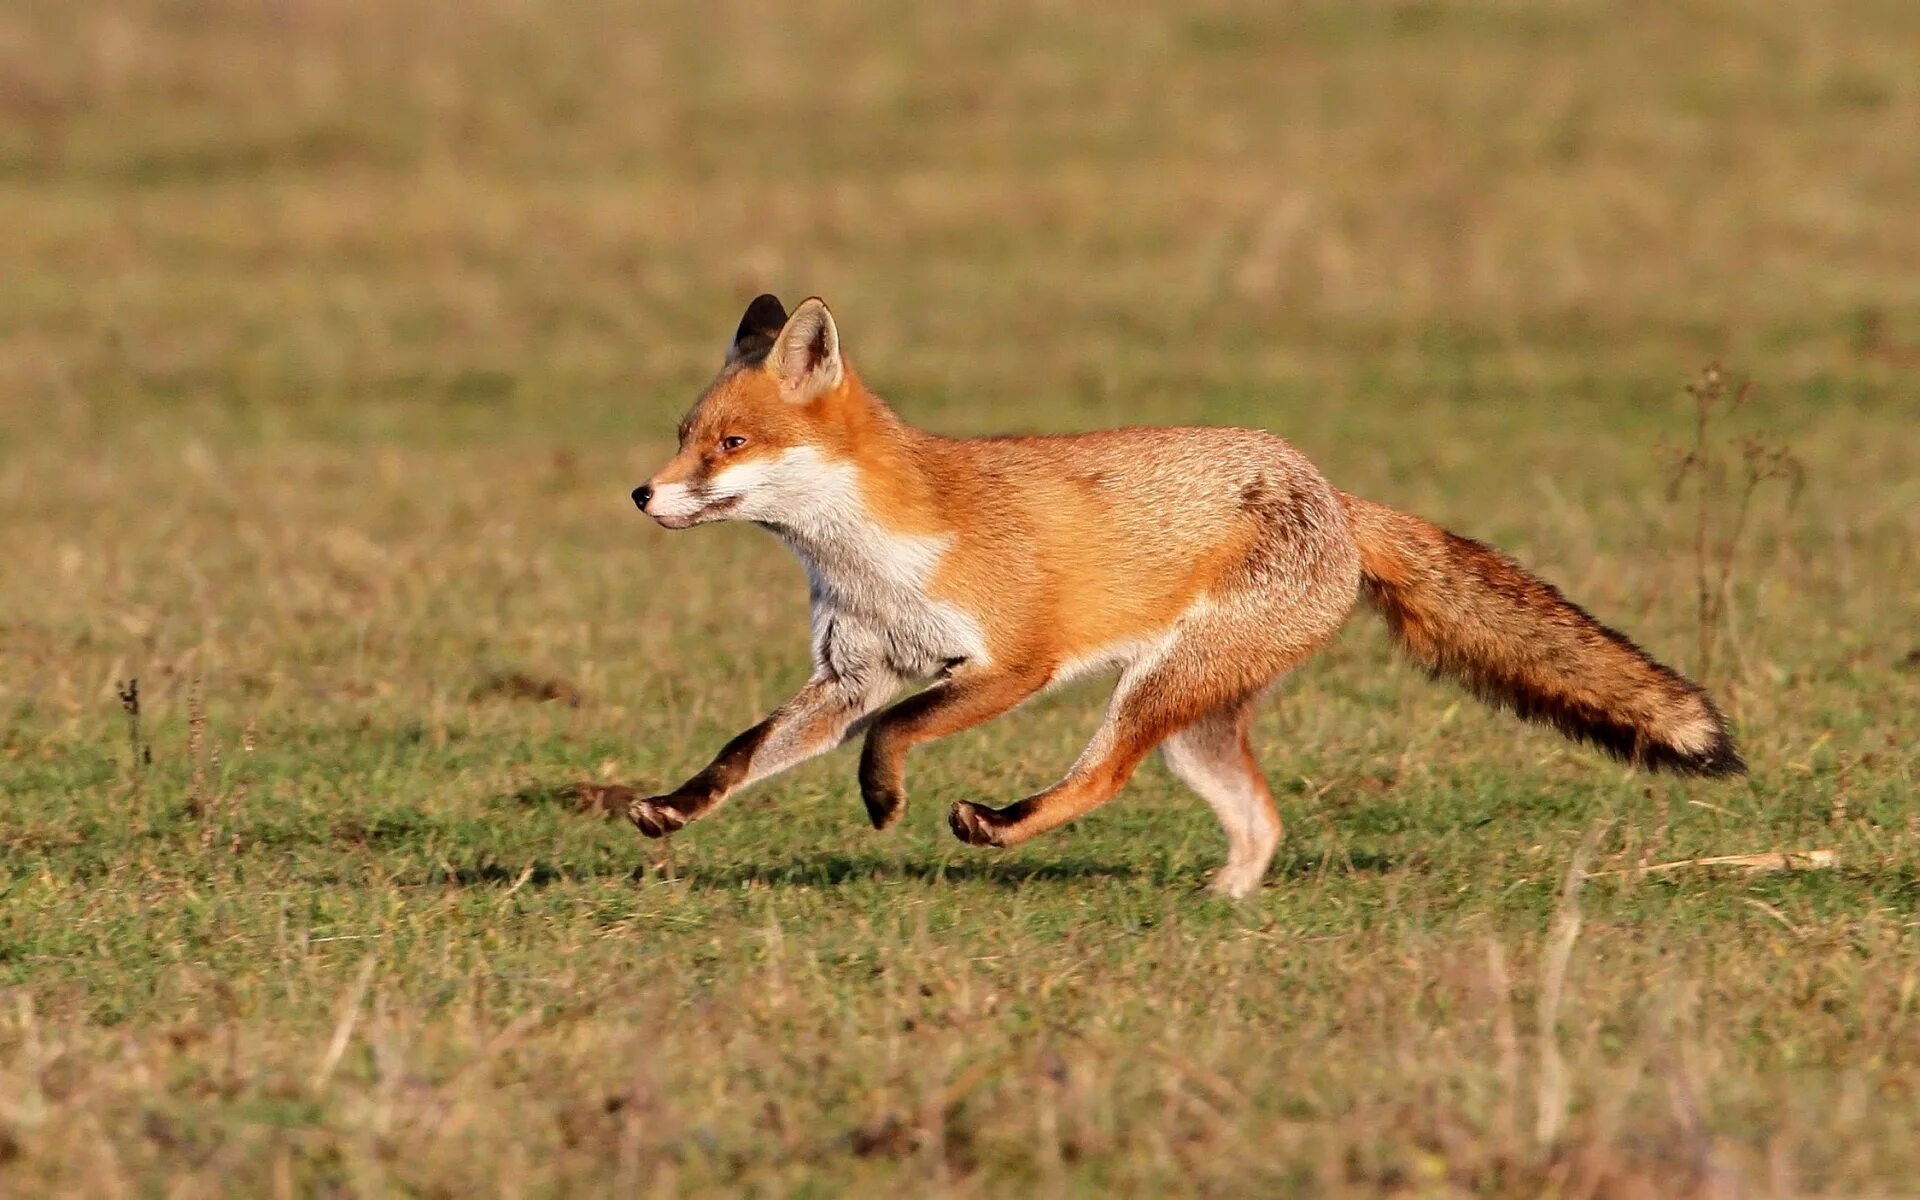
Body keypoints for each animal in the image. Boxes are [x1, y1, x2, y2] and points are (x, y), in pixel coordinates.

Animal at [610, 295, 1743, 894]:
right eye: (683, 433)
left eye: (730, 444)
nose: (642, 494)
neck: (875, 554)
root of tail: (1334, 495)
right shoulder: (852, 670)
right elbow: (742, 753)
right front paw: (671, 808)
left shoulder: (1012, 663)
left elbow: (895, 730)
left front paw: (882, 799)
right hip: (1194, 720)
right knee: (1262, 818)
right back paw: (1227, 898)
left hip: (1149, 693)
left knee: (1103, 779)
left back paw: (1003, 827)